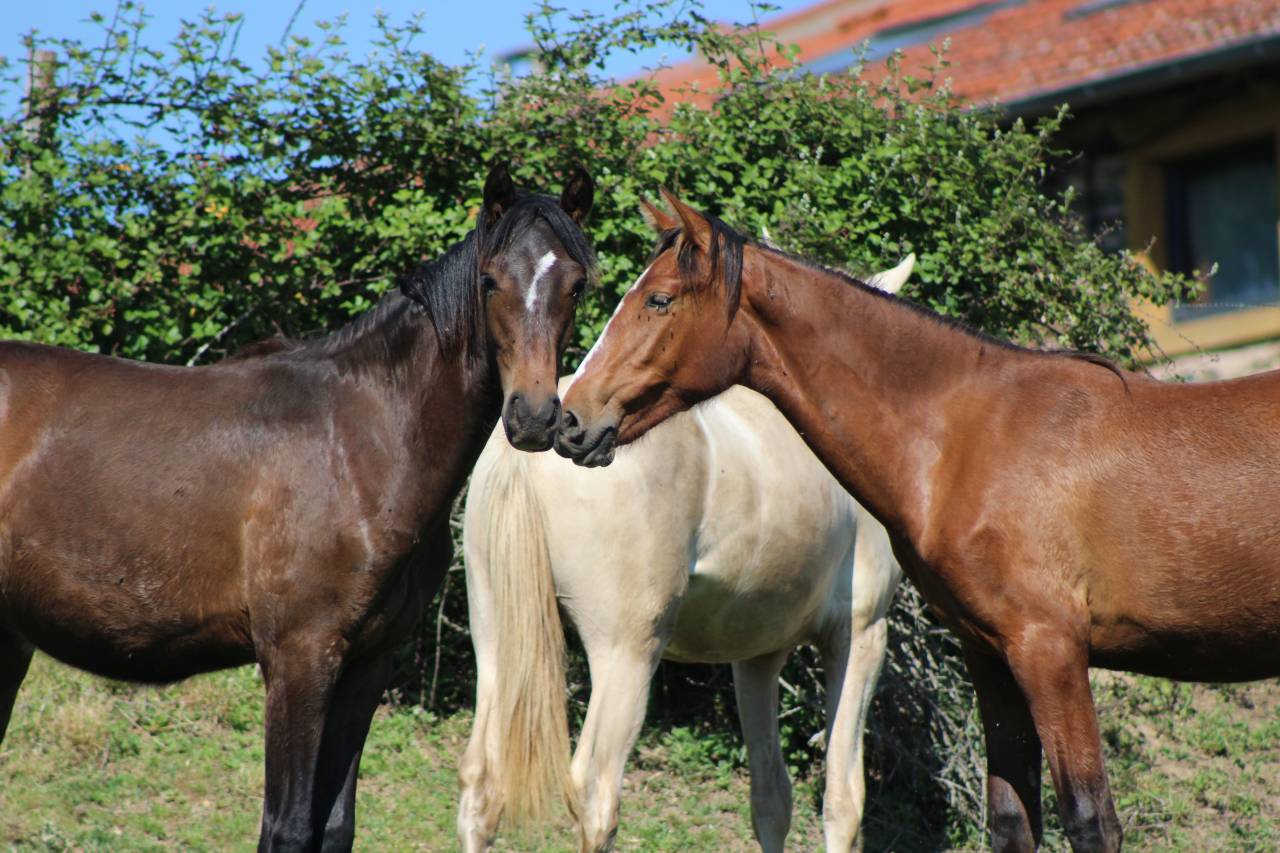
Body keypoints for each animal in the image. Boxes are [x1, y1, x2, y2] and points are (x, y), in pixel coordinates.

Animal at [0, 162, 595, 852]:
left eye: (576, 285)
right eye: (490, 280)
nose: (533, 416)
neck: (362, 438)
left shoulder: (366, 665)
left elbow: (334, 824)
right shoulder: (298, 658)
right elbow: (287, 825)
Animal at [458, 257, 914, 853]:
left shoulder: (757, 658)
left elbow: (771, 799)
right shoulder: (860, 635)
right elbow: (843, 801)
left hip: (495, 636)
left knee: (481, 785)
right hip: (625, 653)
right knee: (594, 791)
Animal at [555, 190, 1280, 853]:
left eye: (658, 300)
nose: (570, 419)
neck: (970, 436)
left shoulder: (1050, 652)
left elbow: (1088, 820)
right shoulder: (992, 656)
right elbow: (1012, 819)